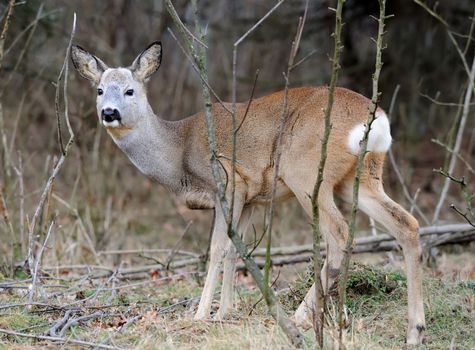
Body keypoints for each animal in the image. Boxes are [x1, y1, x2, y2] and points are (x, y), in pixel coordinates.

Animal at [71, 41, 428, 344]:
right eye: (100, 90)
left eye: (130, 90)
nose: (109, 113)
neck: (178, 151)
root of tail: (375, 119)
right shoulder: (255, 196)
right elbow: (235, 249)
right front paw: (225, 312)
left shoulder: (230, 182)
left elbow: (217, 248)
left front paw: (201, 314)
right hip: (361, 178)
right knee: (406, 224)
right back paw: (415, 330)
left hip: (305, 173)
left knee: (339, 233)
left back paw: (300, 316)